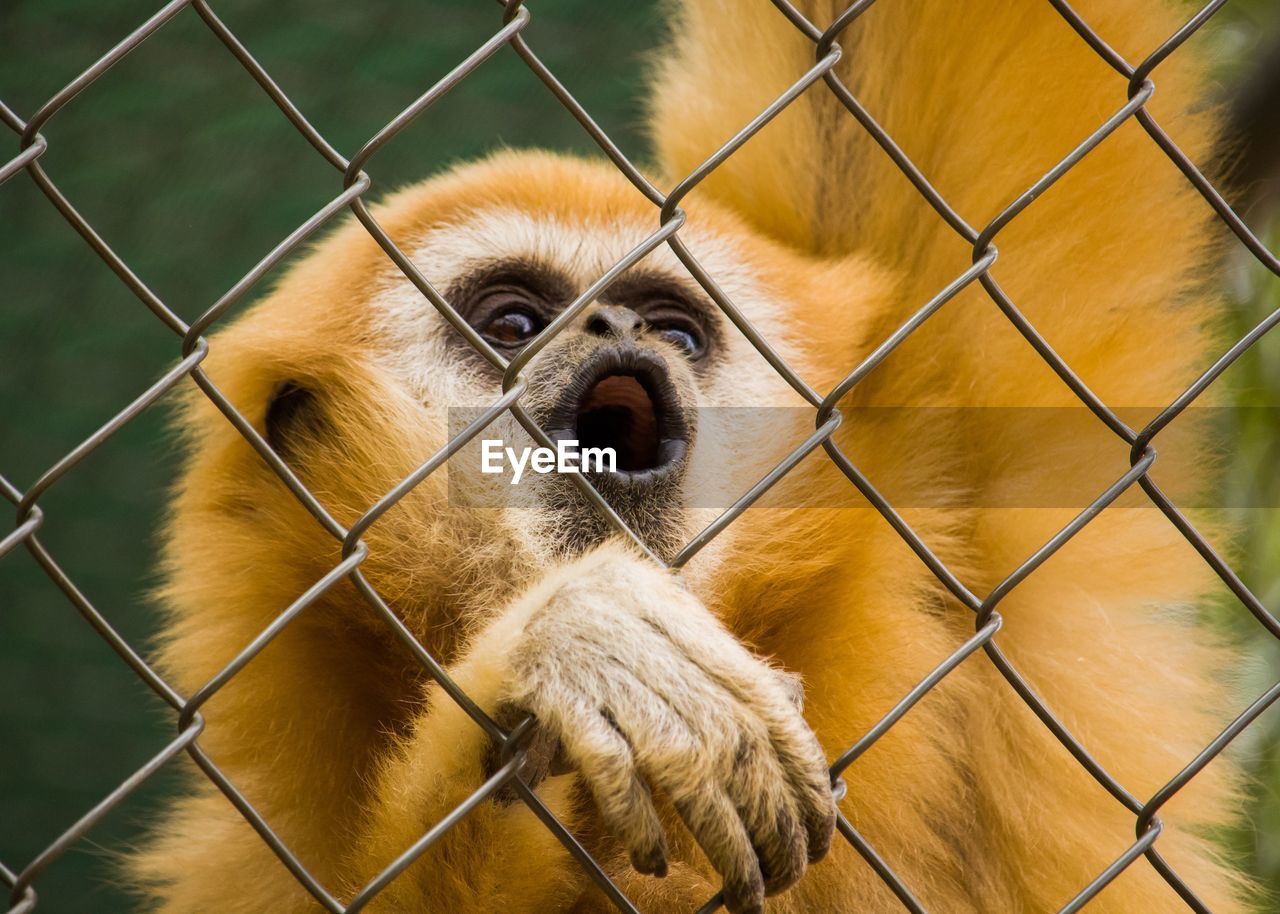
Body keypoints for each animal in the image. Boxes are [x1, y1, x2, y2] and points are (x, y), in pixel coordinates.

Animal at [132, 1, 1259, 911]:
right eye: (512, 320)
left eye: (674, 327)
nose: (616, 328)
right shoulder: (257, 848)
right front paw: (574, 645)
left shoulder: (935, 476)